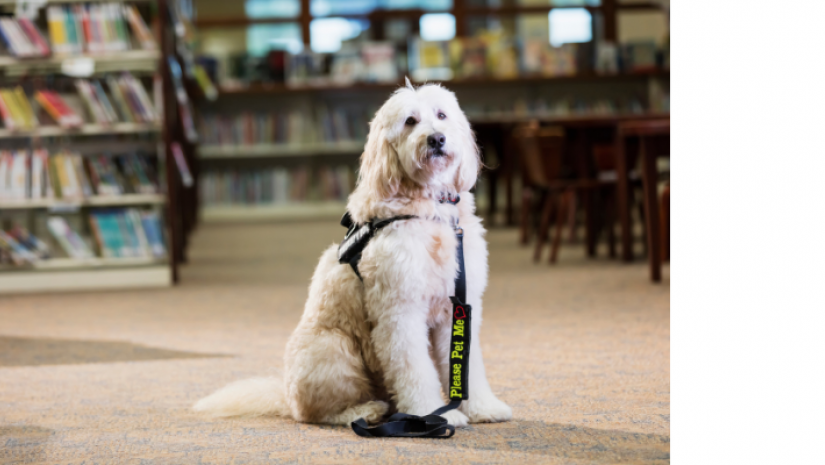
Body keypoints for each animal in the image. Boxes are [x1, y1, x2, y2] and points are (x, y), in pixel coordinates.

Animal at [196, 80, 512, 428]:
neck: (429, 208)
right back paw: (366, 411)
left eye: (441, 115)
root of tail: (287, 397)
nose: (437, 139)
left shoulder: (455, 308)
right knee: (319, 413)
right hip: (333, 348)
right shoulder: (400, 311)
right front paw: (430, 414)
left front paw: (482, 407)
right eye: (410, 121)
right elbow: (415, 370)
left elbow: (466, 365)